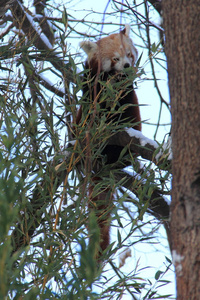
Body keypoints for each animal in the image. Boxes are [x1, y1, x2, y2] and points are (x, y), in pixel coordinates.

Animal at [76, 24, 141, 258]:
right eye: (114, 58)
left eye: (129, 54)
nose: (127, 66)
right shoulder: (91, 85)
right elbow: (89, 98)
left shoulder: (127, 94)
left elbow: (124, 102)